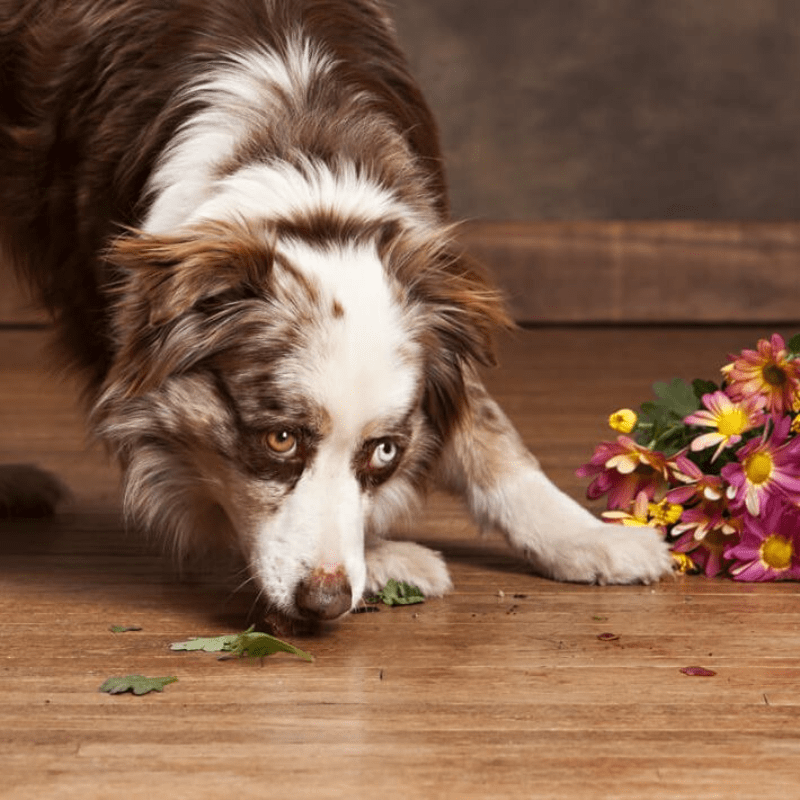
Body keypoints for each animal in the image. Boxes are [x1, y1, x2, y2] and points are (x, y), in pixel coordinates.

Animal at [0, 0, 676, 624]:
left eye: (385, 452)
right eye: (280, 439)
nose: (324, 602)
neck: (304, 170)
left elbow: (488, 429)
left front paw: (583, 535)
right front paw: (381, 558)